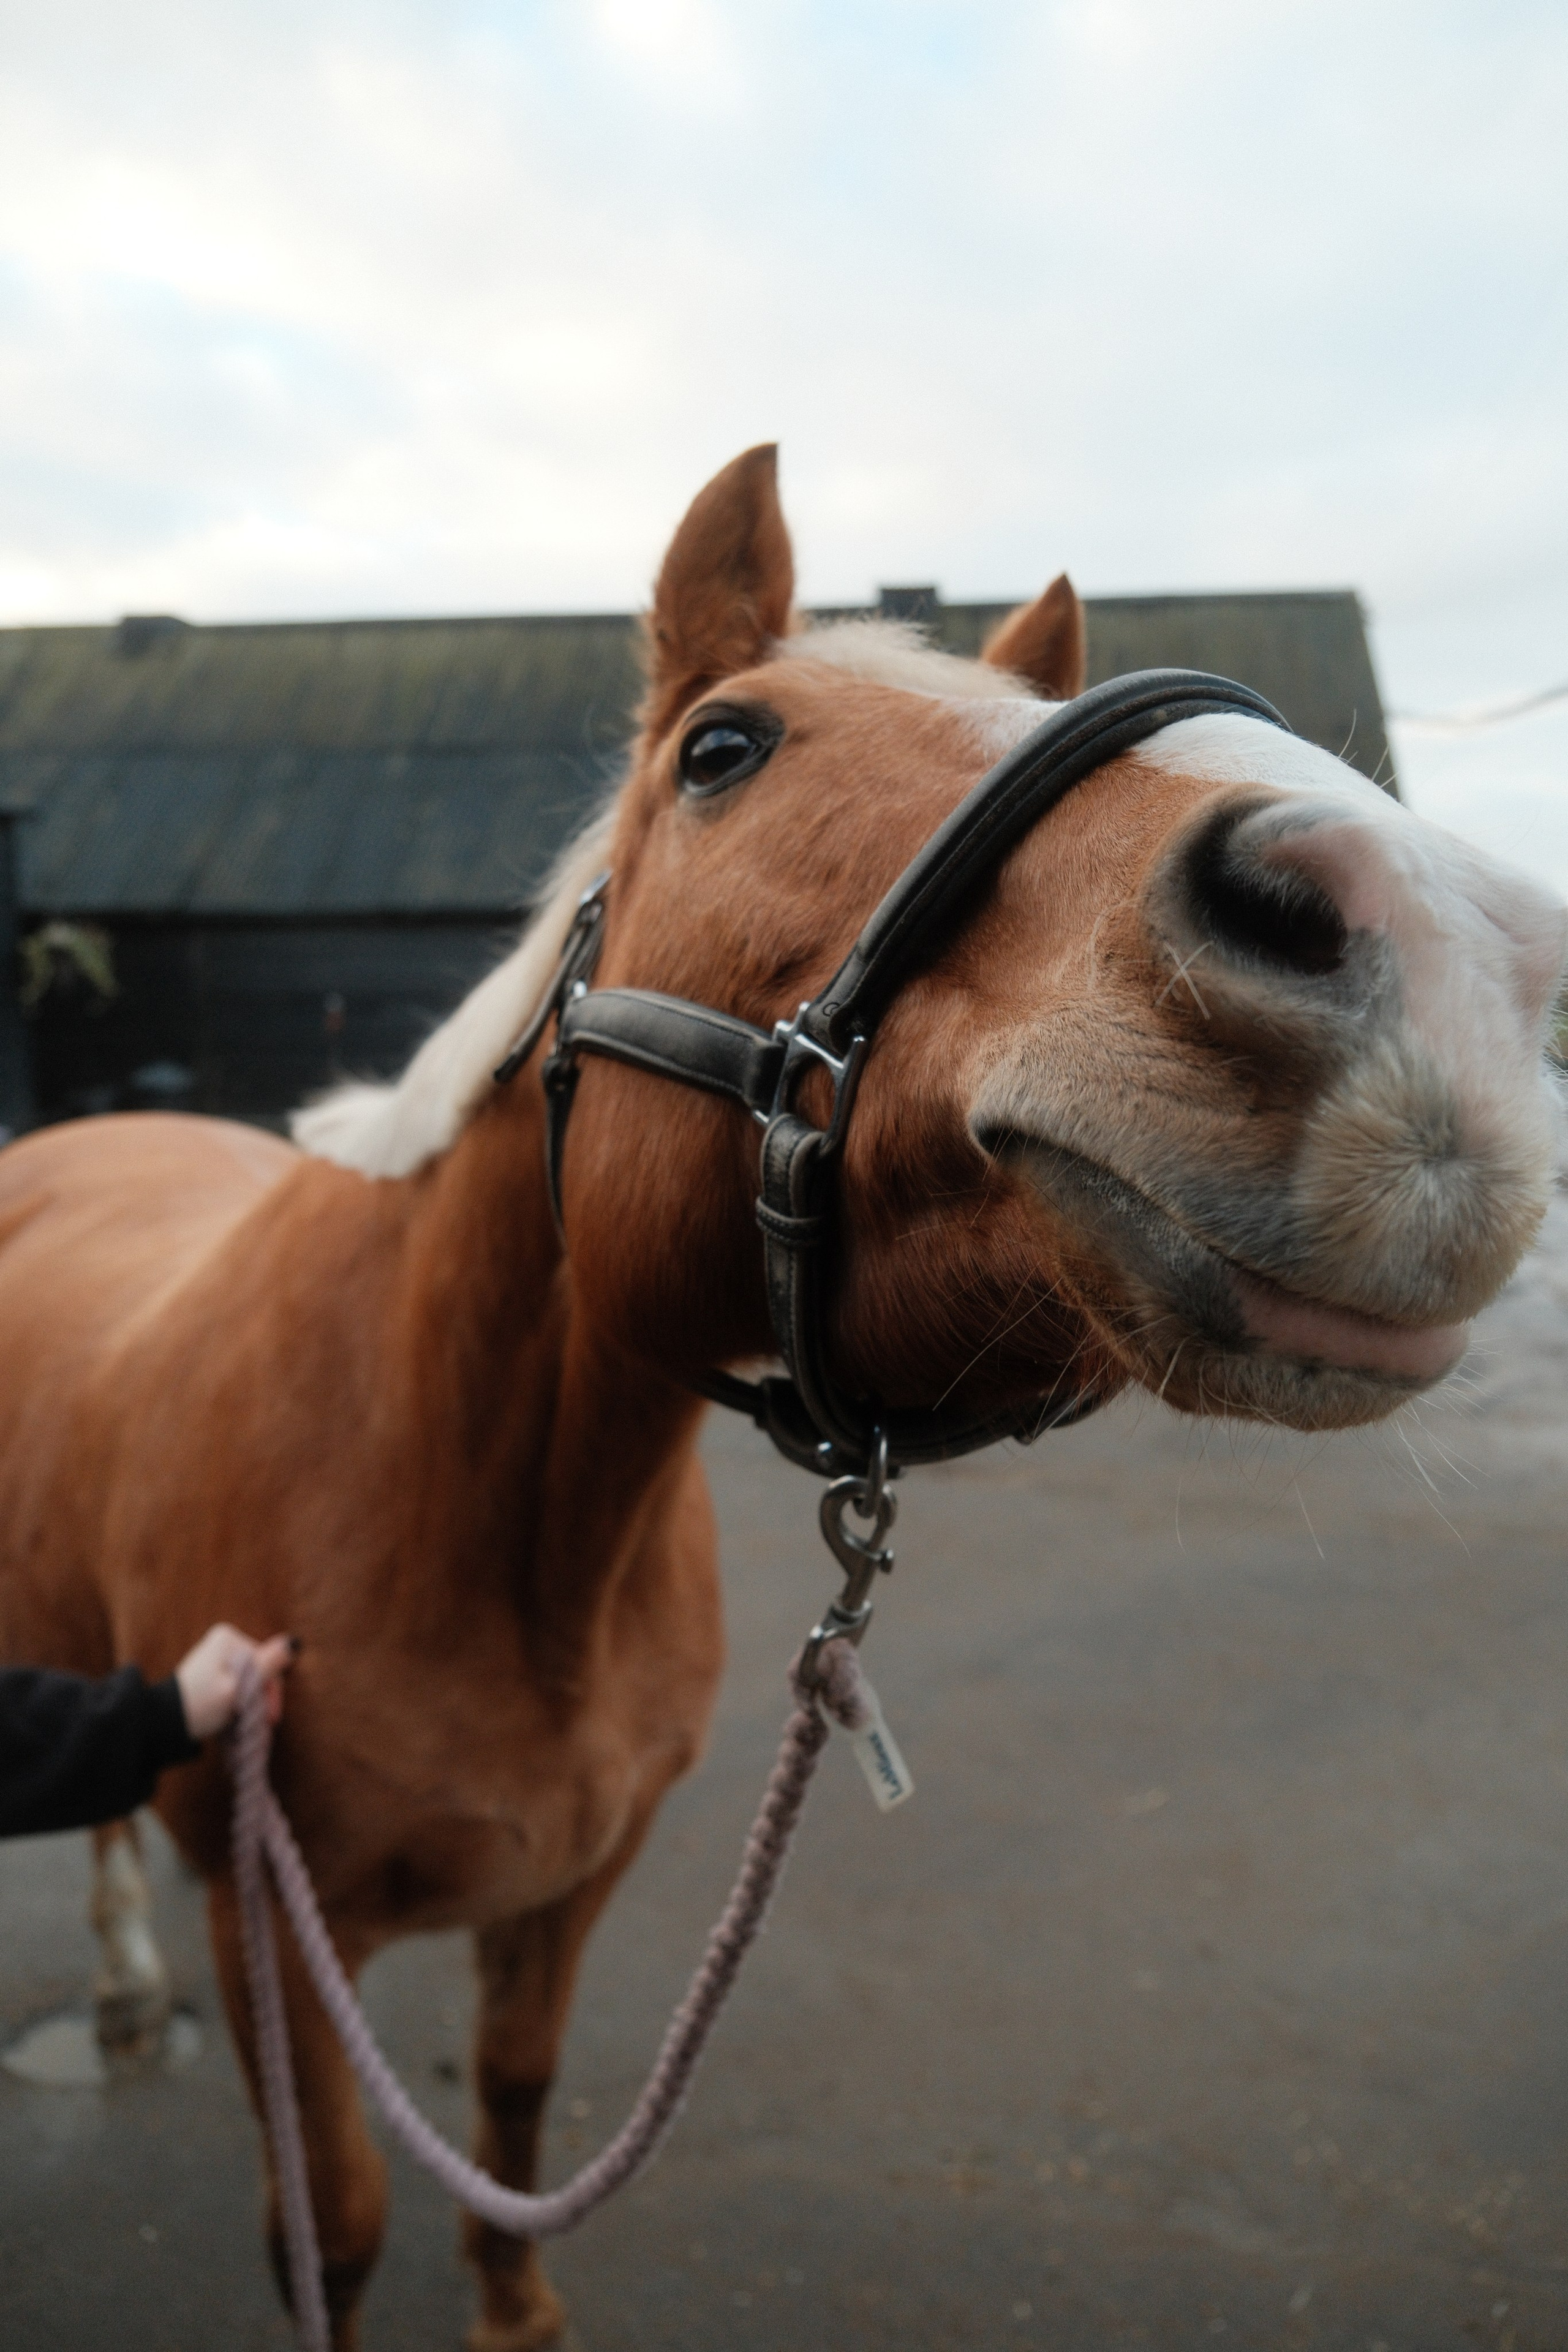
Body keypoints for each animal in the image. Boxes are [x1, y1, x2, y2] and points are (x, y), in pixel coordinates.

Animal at [0, 443, 1561, 2351]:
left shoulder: (569, 1891)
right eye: (720, 748)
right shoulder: (274, 1926)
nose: (1435, 951)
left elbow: (509, 2113)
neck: (473, 1513)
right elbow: (340, 2224)